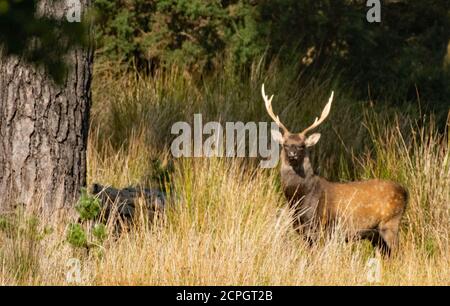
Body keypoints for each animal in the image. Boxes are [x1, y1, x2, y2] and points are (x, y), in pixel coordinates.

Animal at [262, 83, 410, 256]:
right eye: (285, 144)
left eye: (302, 146)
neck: (301, 198)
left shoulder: (322, 228)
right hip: (375, 235)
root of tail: (405, 192)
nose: (292, 155)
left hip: (390, 223)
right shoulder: (304, 232)